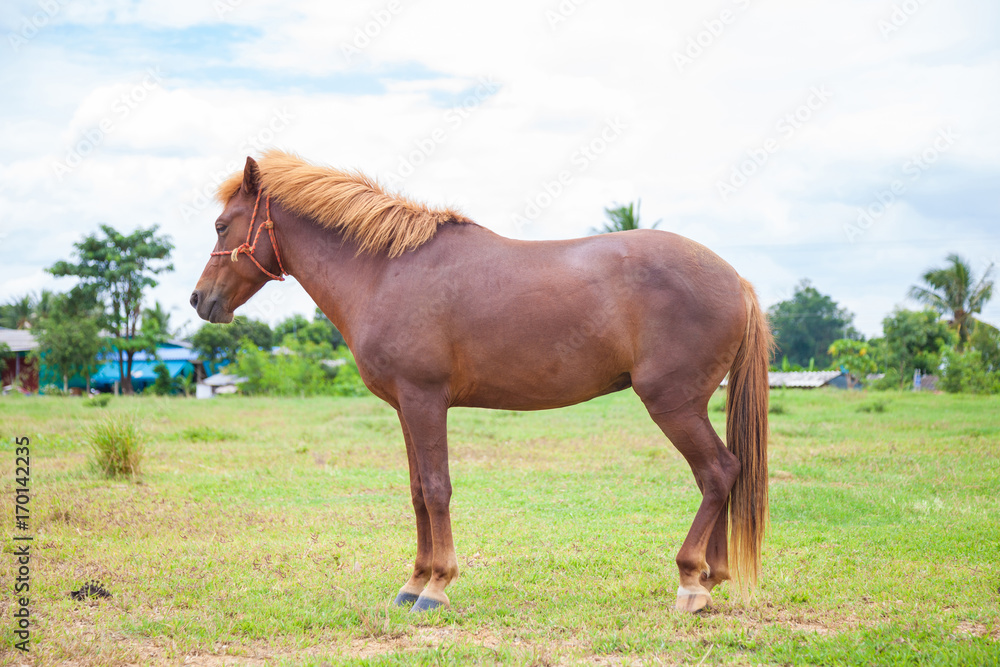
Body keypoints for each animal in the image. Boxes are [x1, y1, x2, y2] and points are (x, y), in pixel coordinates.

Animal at [191, 151, 772, 614]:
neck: (385, 272)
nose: (200, 300)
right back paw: (711, 578)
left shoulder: (425, 401)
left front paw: (436, 588)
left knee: (718, 472)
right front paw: (413, 582)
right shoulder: (405, 407)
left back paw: (691, 582)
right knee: (722, 475)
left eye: (221, 225)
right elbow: (417, 492)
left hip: (673, 404)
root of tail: (736, 279)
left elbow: (436, 488)